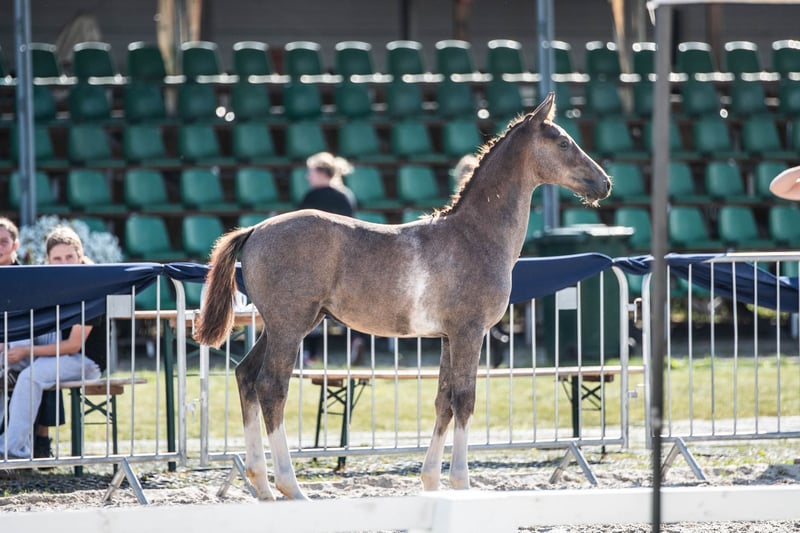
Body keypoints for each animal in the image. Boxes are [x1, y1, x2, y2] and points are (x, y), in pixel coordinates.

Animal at [194, 92, 611, 501]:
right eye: (563, 142)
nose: (604, 183)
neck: (475, 235)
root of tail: (255, 230)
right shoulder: (469, 332)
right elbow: (465, 398)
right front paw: (461, 481)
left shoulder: (447, 338)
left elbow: (443, 401)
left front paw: (431, 480)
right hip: (290, 327)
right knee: (271, 387)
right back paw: (290, 486)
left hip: (284, 326)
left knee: (246, 376)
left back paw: (262, 485)